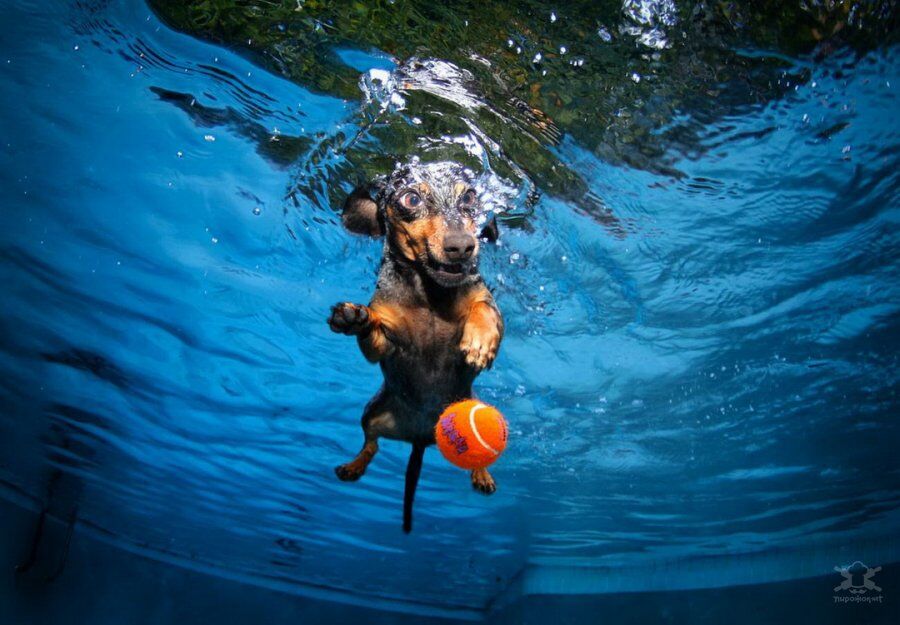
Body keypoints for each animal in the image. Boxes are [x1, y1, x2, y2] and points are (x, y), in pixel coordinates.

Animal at [328, 161, 502, 532]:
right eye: (410, 199)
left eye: (470, 196)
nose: (462, 246)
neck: (429, 294)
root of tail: (421, 437)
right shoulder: (386, 342)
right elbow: (374, 332)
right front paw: (356, 319)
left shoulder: (484, 297)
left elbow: (483, 308)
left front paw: (480, 341)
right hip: (372, 413)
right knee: (371, 444)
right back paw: (354, 466)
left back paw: (481, 475)